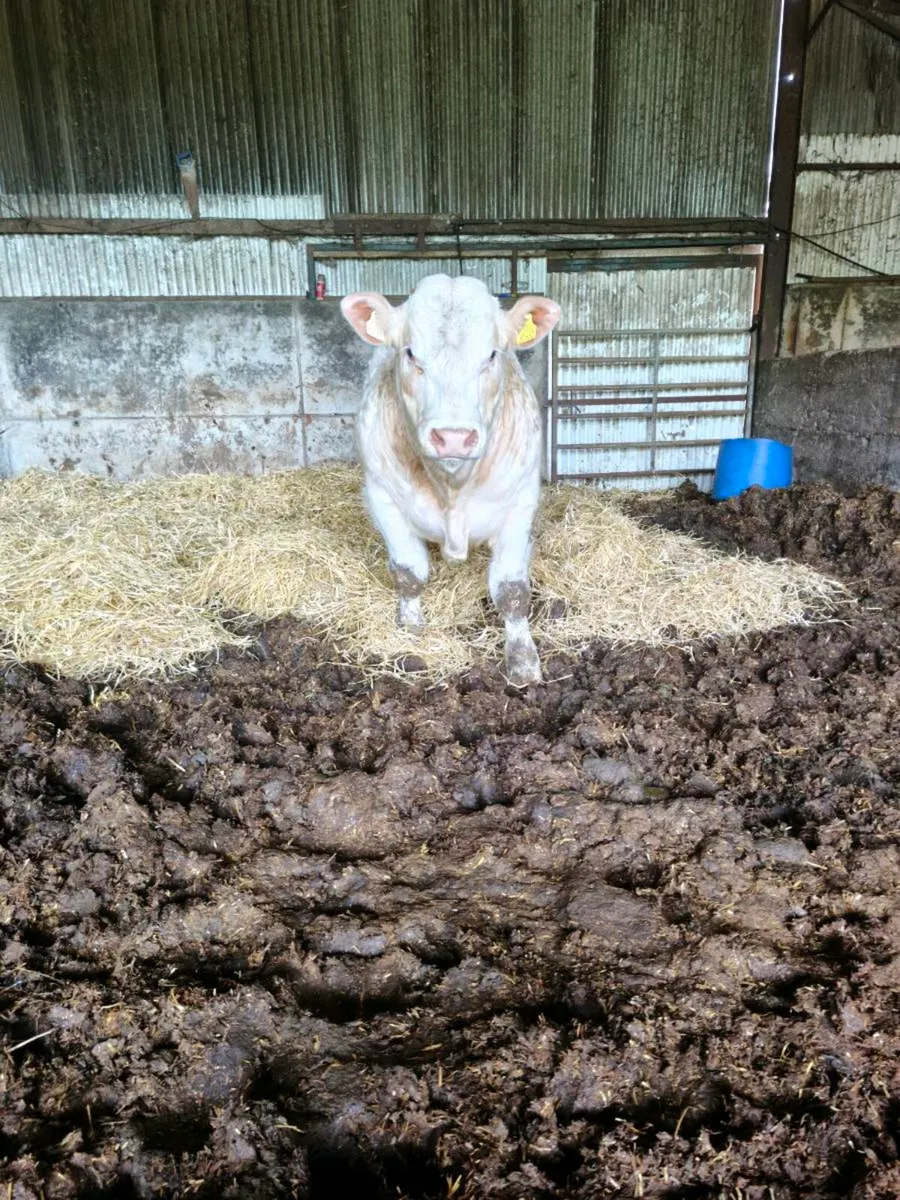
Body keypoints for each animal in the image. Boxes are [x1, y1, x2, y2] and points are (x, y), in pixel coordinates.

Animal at [340, 273, 561, 686]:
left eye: (492, 354)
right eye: (411, 353)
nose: (454, 437)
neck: (453, 489)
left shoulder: (520, 503)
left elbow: (512, 589)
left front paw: (523, 662)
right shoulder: (381, 497)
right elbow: (409, 573)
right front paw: (411, 630)